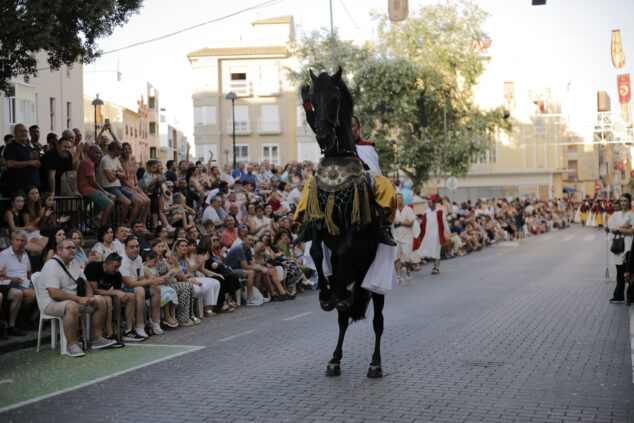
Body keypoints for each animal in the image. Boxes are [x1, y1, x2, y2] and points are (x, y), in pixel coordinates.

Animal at [302, 68, 386, 380]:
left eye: (335, 98)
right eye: (313, 99)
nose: (324, 137)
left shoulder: (355, 229)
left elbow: (341, 251)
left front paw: (335, 292)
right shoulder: (318, 221)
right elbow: (317, 252)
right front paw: (326, 293)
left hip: (375, 281)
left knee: (378, 320)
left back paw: (375, 363)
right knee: (342, 319)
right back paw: (334, 359)